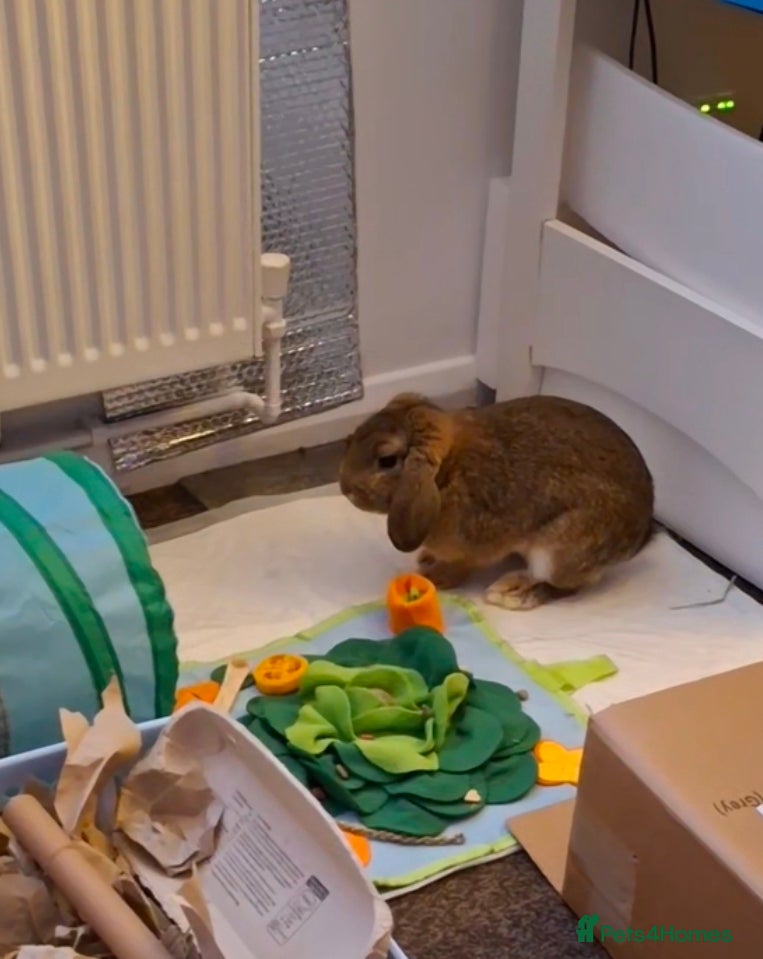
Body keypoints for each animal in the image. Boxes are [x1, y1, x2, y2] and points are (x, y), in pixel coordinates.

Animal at [338, 392, 654, 610]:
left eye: (386, 460)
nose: (345, 488)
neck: (446, 475)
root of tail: (636, 540)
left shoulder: (473, 548)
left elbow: (463, 566)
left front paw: (437, 578)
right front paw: (427, 559)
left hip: (558, 551)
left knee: (566, 585)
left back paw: (511, 593)